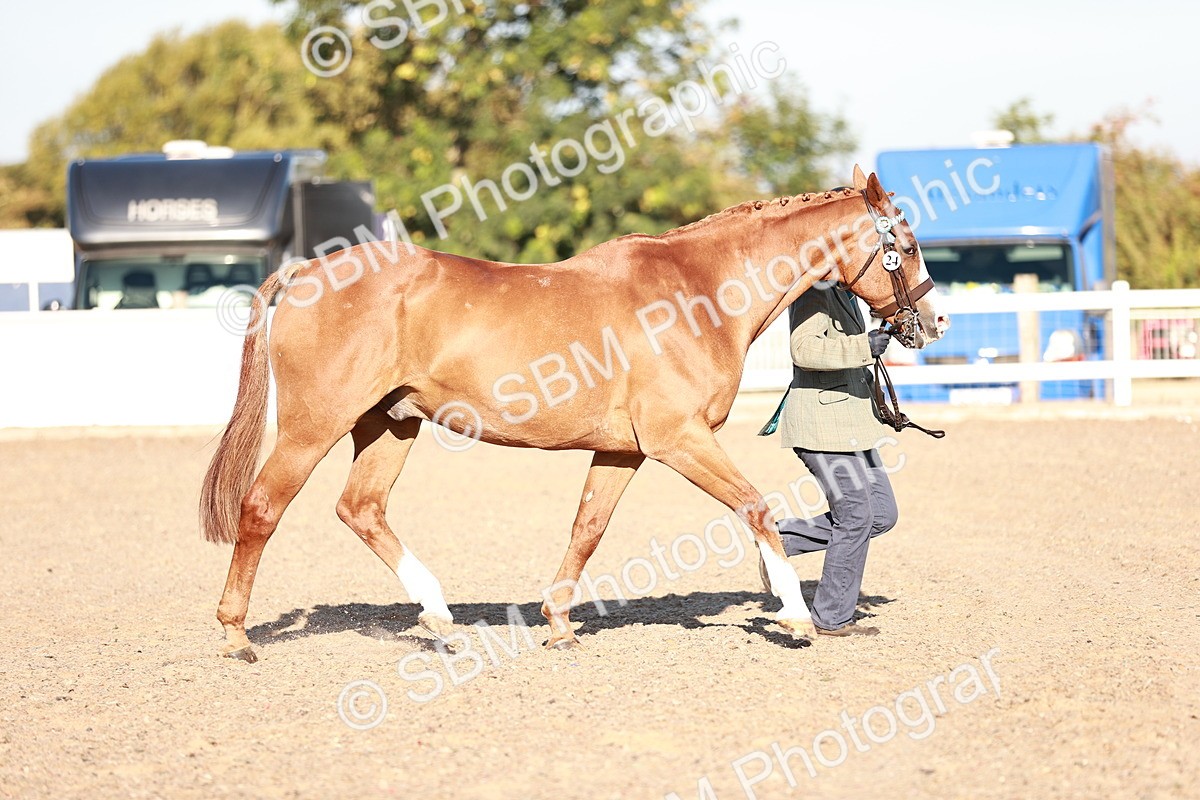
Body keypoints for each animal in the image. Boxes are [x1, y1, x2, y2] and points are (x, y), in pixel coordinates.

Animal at [200, 166, 949, 662]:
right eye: (907, 244)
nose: (934, 322)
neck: (698, 293)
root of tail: (305, 272)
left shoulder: (624, 449)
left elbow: (588, 528)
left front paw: (557, 623)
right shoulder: (680, 440)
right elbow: (757, 507)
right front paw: (796, 618)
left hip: (391, 423)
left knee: (360, 509)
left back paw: (441, 618)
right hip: (314, 425)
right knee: (262, 508)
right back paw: (236, 635)